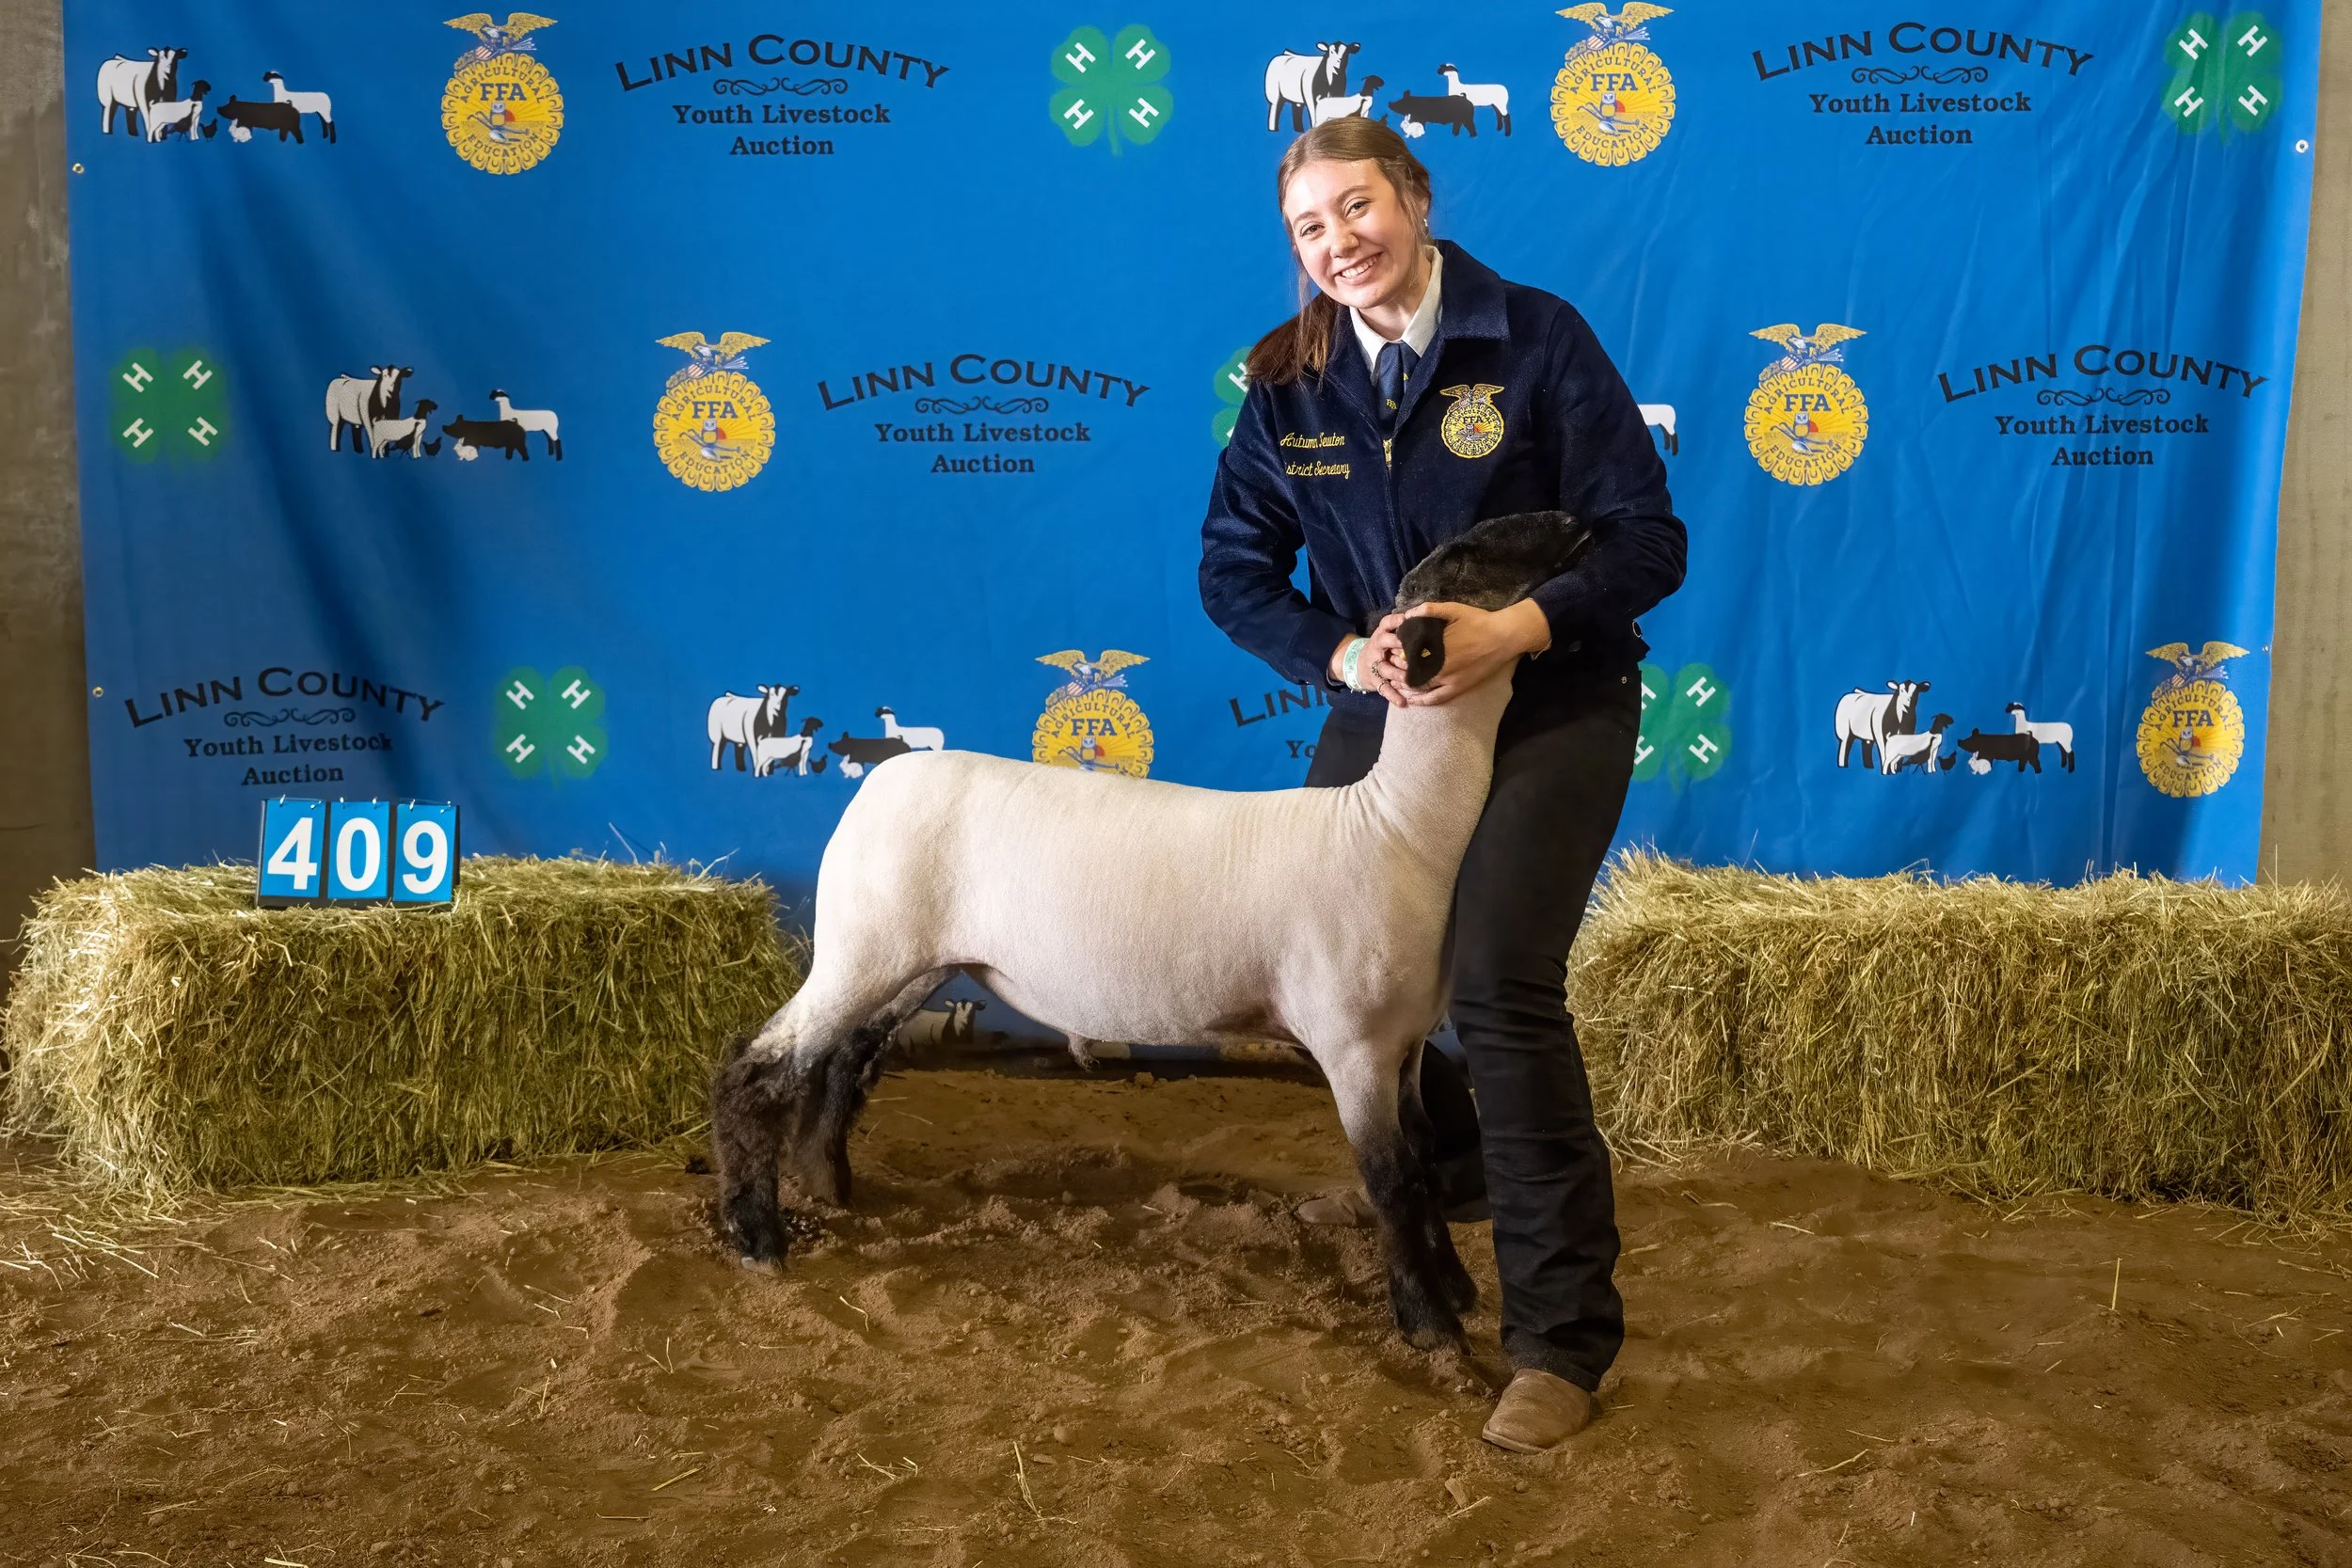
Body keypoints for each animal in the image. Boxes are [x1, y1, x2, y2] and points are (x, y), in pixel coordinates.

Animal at [709, 510, 1595, 1358]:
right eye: (1472, 550)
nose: (1574, 520)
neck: (1399, 828)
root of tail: (881, 779)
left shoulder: (1404, 1043)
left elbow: (1424, 1157)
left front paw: (1456, 1290)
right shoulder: (1353, 1045)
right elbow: (1394, 1179)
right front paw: (1430, 1325)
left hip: (916, 960)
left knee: (847, 1058)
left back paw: (828, 1183)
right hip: (862, 945)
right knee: (758, 1068)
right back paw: (757, 1236)